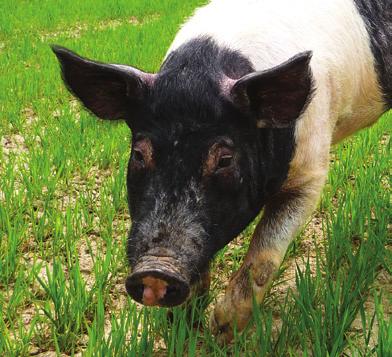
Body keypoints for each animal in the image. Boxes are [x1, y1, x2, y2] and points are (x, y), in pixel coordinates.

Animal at [52, 0, 392, 342]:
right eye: (138, 153)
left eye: (225, 159)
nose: (155, 271)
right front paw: (184, 324)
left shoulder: (311, 170)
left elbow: (265, 253)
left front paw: (221, 331)